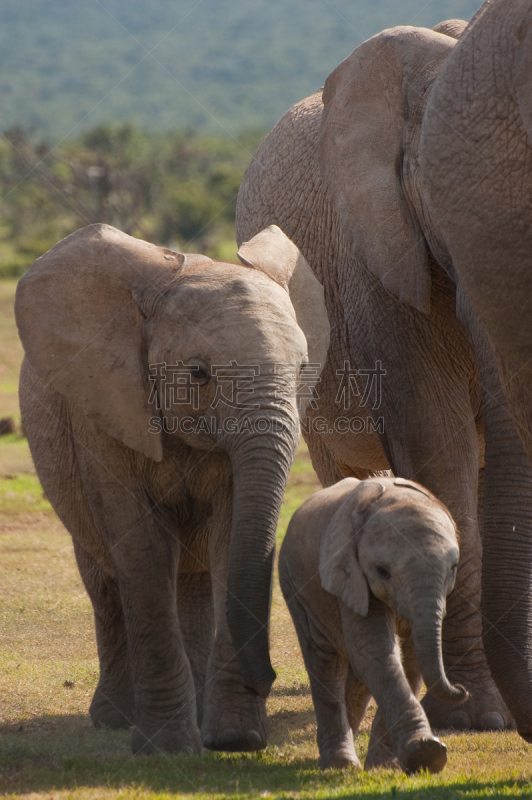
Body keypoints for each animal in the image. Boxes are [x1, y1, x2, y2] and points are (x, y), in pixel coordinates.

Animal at [15, 222, 328, 752]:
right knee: (104, 579)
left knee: (193, 580)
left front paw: (235, 738)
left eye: (303, 369)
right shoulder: (107, 407)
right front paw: (165, 747)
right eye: (198, 372)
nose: (269, 677)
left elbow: (230, 538)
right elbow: (144, 551)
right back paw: (115, 720)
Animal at [280, 478, 468, 772]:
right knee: (325, 662)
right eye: (381, 571)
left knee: (358, 676)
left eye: (453, 569)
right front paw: (427, 753)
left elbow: (409, 658)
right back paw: (340, 764)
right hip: (294, 583)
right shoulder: (349, 575)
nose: (462, 690)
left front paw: (386, 765)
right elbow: (374, 650)